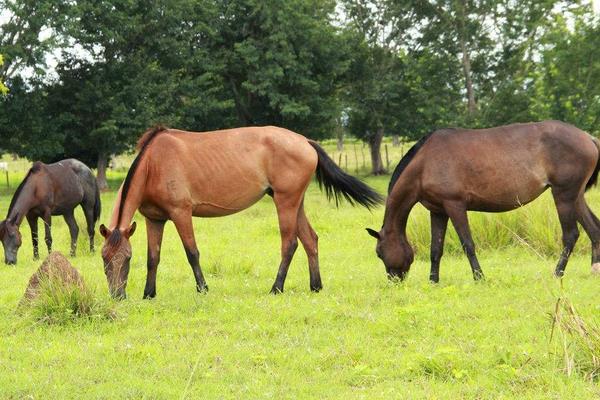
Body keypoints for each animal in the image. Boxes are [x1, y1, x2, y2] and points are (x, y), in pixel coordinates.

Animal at [98, 126, 380, 298]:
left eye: (127, 259)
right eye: (104, 258)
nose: (117, 296)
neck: (153, 163)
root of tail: (305, 141)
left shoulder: (181, 214)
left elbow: (192, 253)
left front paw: (203, 289)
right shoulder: (154, 219)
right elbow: (153, 258)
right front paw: (149, 294)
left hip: (286, 202)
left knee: (289, 243)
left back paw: (276, 287)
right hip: (296, 202)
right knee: (311, 240)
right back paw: (315, 286)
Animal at [366, 121, 600, 282]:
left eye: (379, 253)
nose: (394, 281)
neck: (424, 164)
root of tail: (588, 138)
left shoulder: (455, 206)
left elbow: (467, 244)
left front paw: (479, 277)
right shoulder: (438, 211)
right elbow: (436, 249)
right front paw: (433, 281)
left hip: (564, 196)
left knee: (571, 235)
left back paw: (557, 273)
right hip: (575, 197)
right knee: (594, 229)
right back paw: (594, 269)